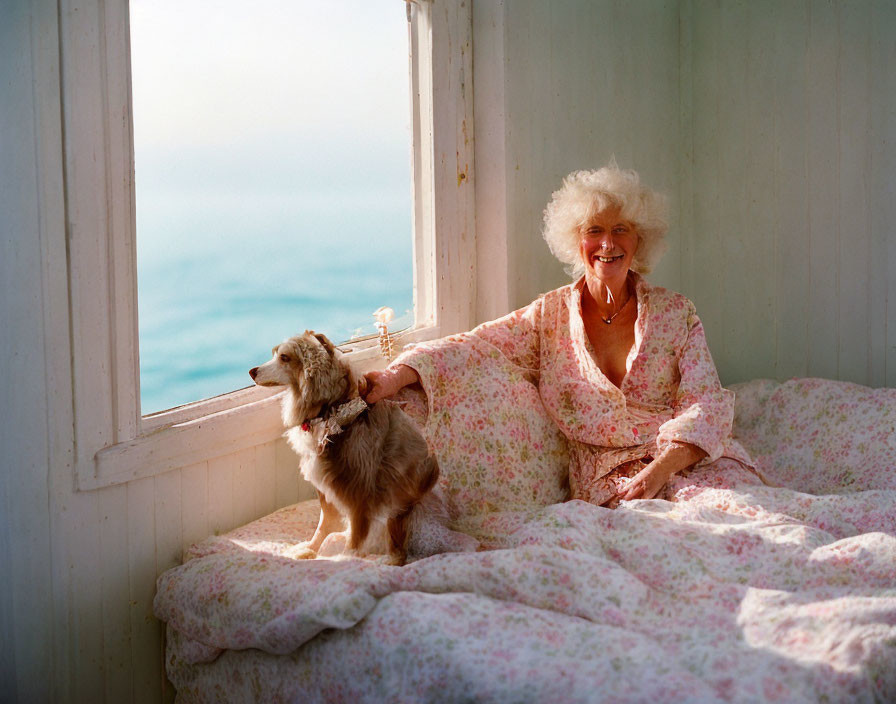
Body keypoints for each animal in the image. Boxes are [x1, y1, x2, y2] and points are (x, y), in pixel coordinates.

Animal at [247, 332, 468, 564]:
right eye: (275, 354)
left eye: (284, 358)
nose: (252, 371)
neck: (333, 412)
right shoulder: (328, 484)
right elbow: (325, 524)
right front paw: (311, 548)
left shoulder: (359, 490)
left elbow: (355, 537)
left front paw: (344, 559)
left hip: (406, 510)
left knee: (398, 545)